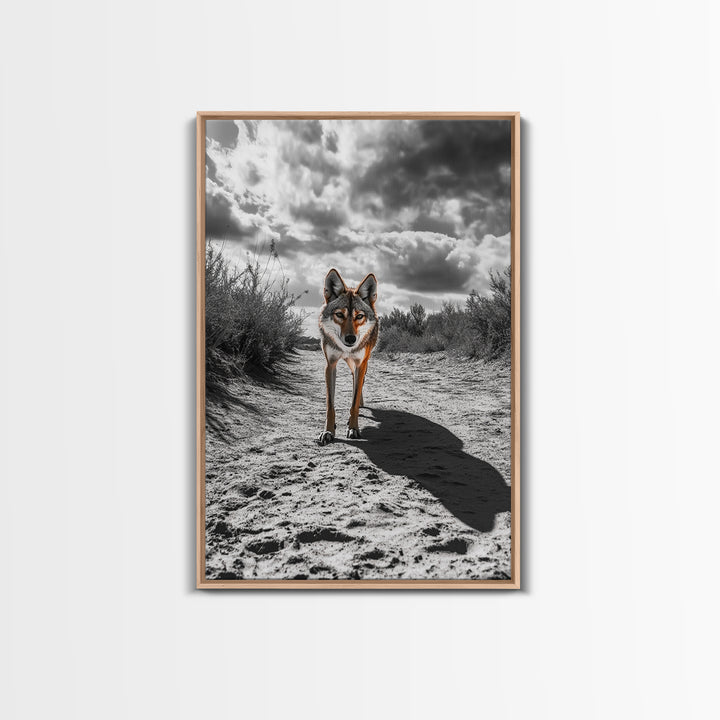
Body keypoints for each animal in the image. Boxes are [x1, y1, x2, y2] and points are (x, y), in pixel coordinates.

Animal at [317, 268, 378, 445]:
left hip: (361, 364)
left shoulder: (360, 364)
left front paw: (353, 428)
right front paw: (328, 431)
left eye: (359, 316)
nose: (351, 339)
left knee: (359, 384)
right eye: (339, 314)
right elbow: (330, 405)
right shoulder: (330, 365)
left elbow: (354, 402)